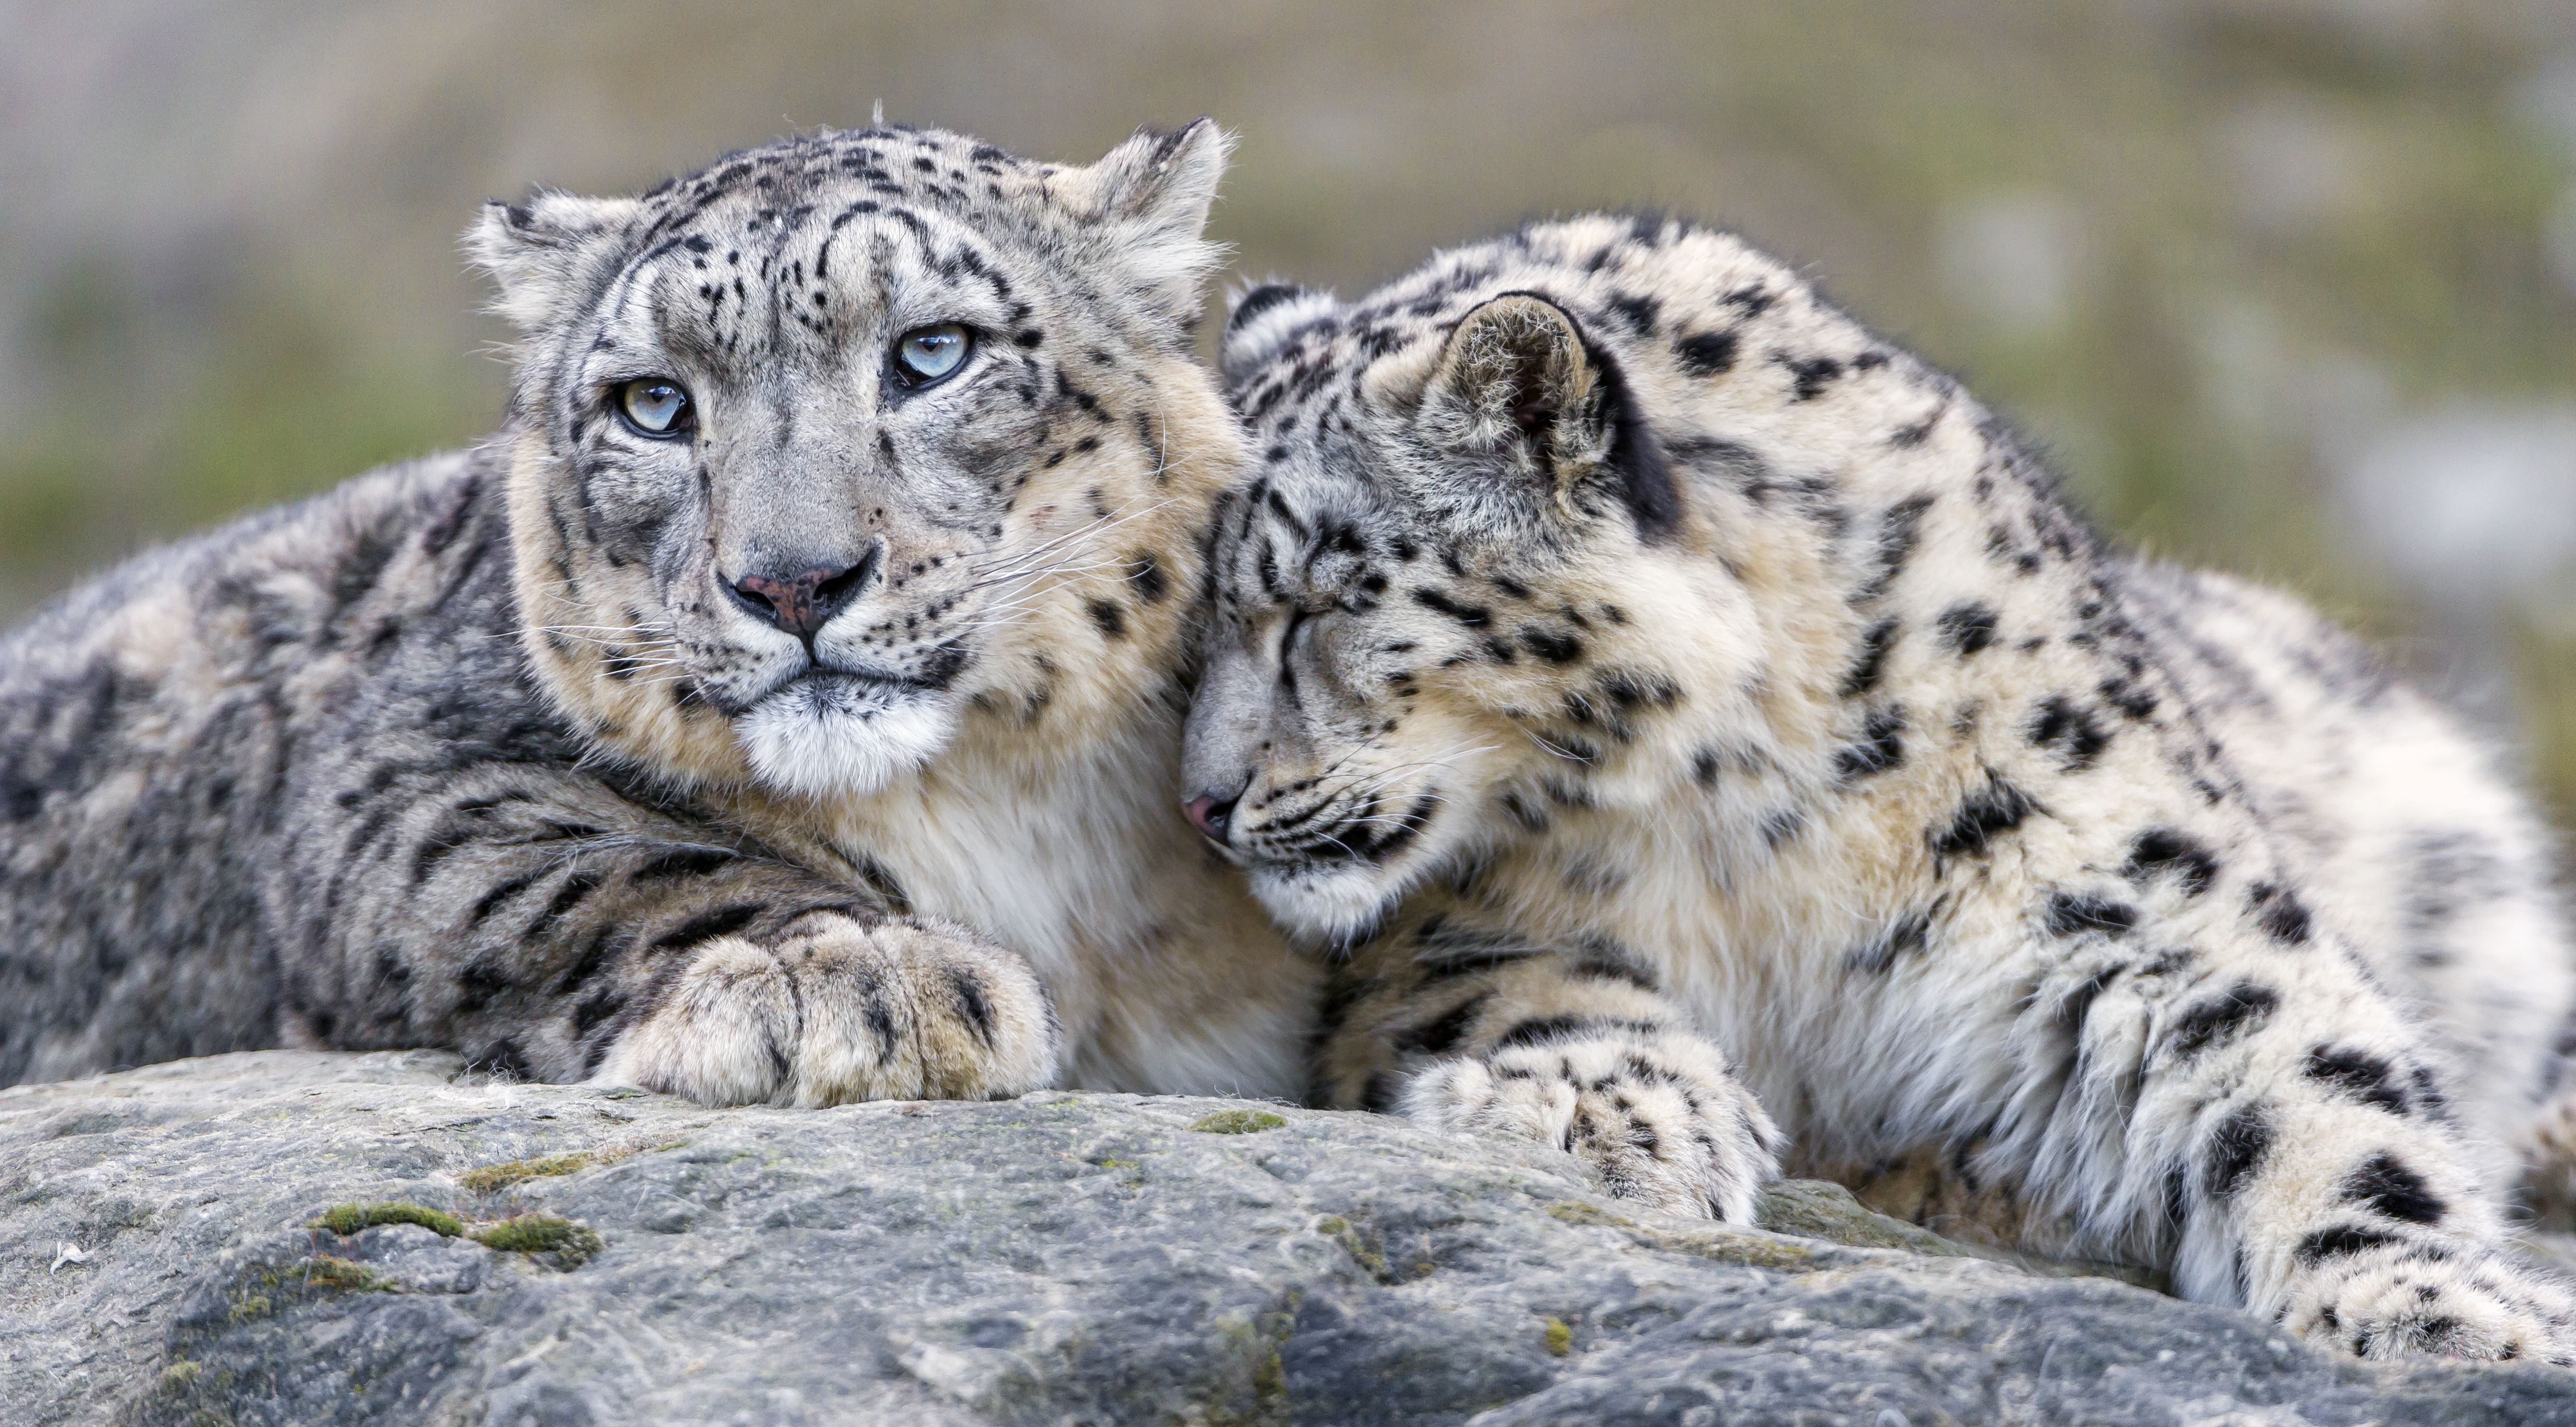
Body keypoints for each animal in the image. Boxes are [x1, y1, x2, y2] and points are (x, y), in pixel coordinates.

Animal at [0, 119, 1319, 1097]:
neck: (1015, 824)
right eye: (652, 404)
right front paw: (860, 980)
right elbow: (590, 867)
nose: (793, 581)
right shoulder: (391, 776)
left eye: (934, 352)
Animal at [1184, 216, 2576, 1360]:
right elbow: (1516, 984)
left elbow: (2316, 1086)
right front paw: (1612, 1116)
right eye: (1188, 631)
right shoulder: (1440, 930)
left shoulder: (2145, 900)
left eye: (1313, 603)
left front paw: (2441, 1309)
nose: (1202, 804)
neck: (1748, 826)